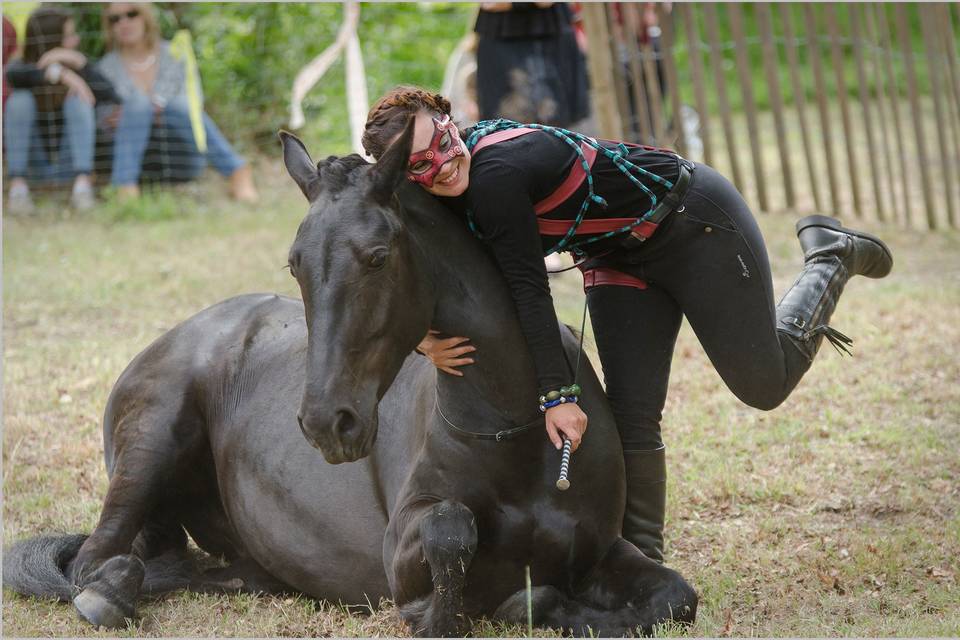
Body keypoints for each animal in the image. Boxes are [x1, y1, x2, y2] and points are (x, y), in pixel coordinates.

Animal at [3, 120, 700, 636]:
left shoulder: (603, 550)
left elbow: (675, 598)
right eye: (295, 264)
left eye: (378, 257)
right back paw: (109, 593)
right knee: (97, 560)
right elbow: (456, 536)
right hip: (149, 445)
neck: (520, 432)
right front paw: (459, 611)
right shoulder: (406, 551)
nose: (325, 424)